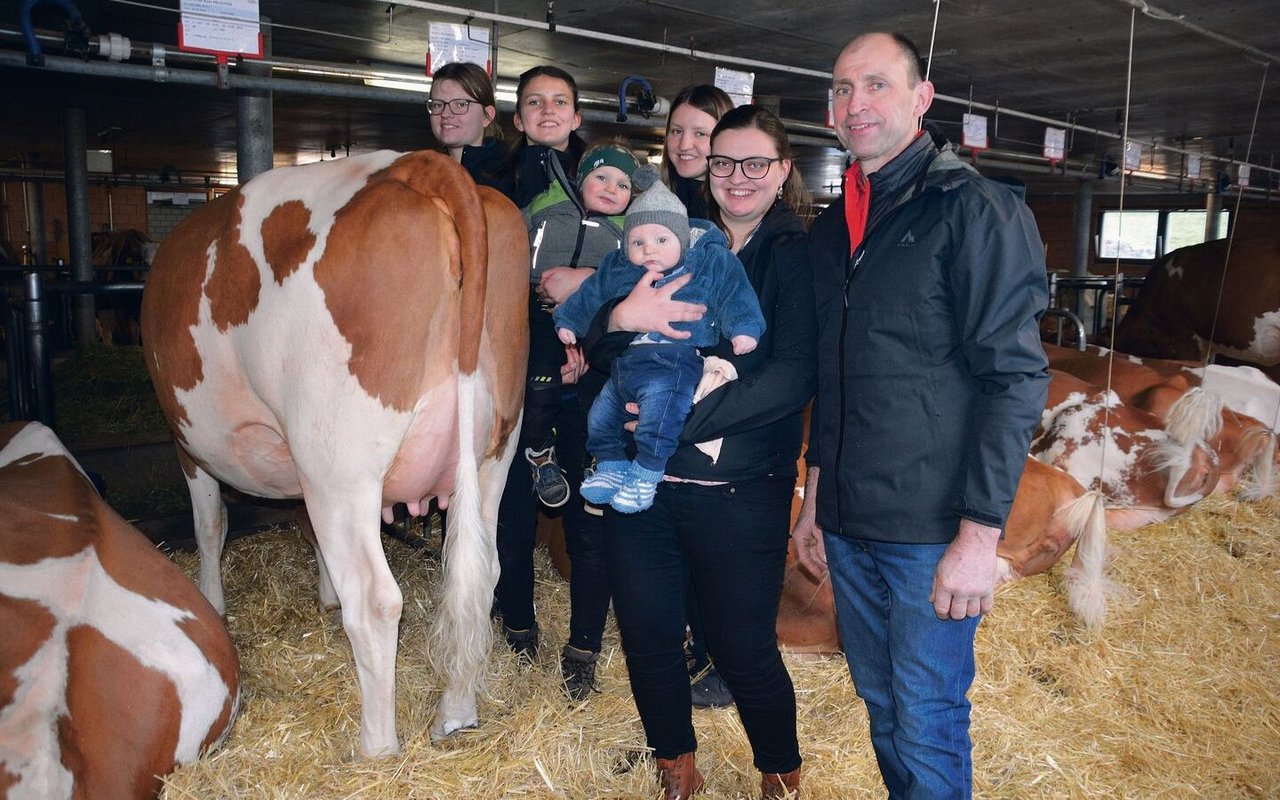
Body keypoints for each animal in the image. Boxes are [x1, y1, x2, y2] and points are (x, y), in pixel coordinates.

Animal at [144, 149, 529, 752]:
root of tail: (415, 165)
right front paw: (322, 591)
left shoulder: (188, 439)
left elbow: (210, 526)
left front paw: (212, 604)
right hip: (496, 452)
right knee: (480, 573)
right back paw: (455, 714)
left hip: (338, 464)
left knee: (375, 599)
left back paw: (377, 748)